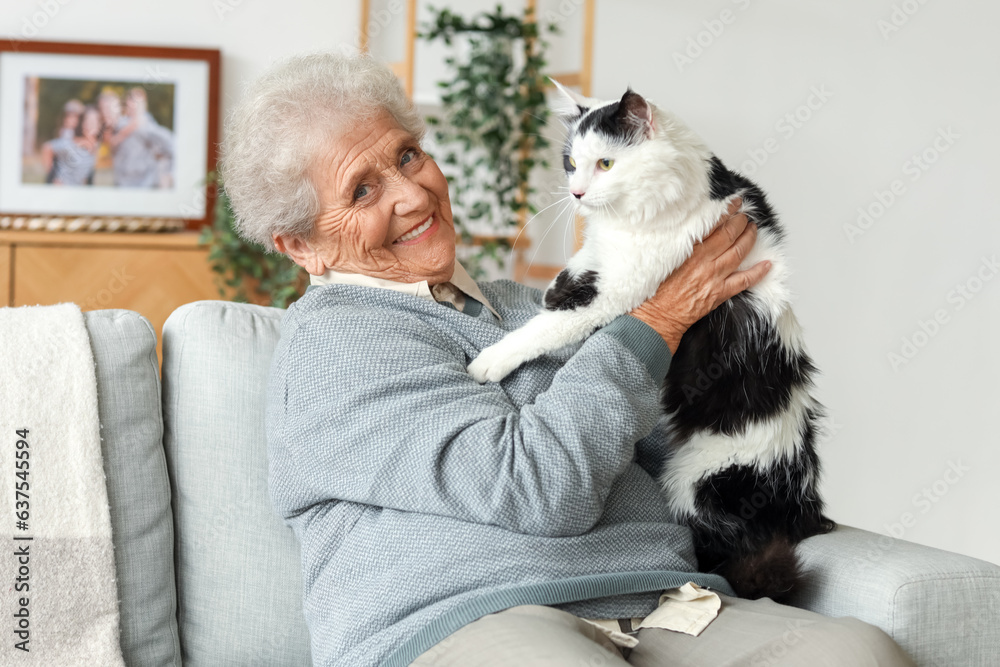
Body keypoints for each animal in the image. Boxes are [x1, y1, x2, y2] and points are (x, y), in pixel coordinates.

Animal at [468, 82, 836, 600]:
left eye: (606, 163)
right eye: (571, 162)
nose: (577, 193)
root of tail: (804, 509)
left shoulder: (621, 288)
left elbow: (546, 327)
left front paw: (488, 362)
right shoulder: (603, 257)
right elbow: (577, 269)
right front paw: (556, 284)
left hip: (696, 486)